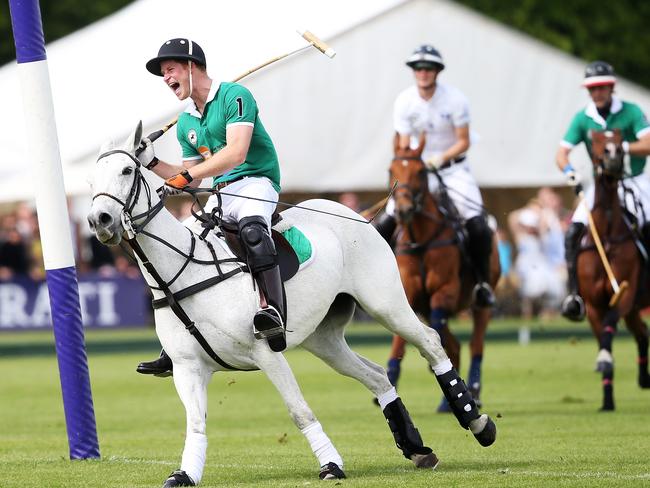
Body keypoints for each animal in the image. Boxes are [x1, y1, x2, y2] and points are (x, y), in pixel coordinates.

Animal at [384, 132, 502, 408]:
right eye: (391, 170)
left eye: (420, 172)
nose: (403, 210)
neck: (420, 239)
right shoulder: (408, 293)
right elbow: (401, 336)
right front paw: (393, 376)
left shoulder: (445, 289)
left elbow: (438, 326)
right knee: (455, 343)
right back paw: (448, 398)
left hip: (481, 301)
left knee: (475, 343)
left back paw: (473, 390)